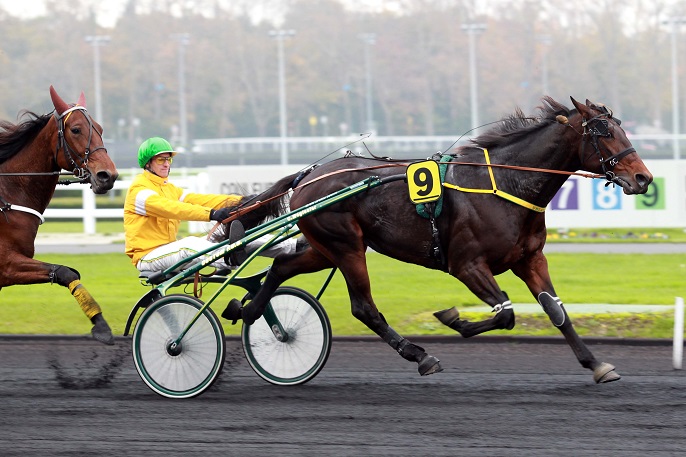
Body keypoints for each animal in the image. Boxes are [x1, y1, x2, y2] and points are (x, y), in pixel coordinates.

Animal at [0, 85, 119, 344]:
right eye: (75, 129)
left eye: (100, 128)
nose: (108, 175)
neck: (7, 197)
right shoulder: (5, 264)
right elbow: (64, 271)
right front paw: (102, 326)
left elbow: (69, 271)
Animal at [222, 96, 656, 382]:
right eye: (604, 132)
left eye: (620, 128)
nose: (644, 178)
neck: (505, 184)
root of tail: (308, 174)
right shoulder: (467, 265)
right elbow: (506, 313)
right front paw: (454, 319)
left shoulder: (530, 259)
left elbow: (557, 312)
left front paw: (596, 364)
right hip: (346, 247)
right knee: (364, 307)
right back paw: (419, 355)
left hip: (327, 248)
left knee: (282, 266)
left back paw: (248, 310)